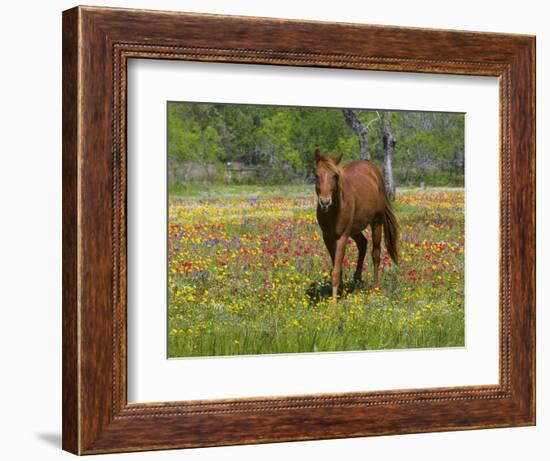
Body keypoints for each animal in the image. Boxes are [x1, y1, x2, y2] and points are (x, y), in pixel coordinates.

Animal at [314, 147, 402, 298]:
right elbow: (336, 269)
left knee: (376, 253)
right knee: (362, 244)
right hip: (354, 229)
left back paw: (375, 287)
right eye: (316, 175)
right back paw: (357, 279)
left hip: (376, 223)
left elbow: (336, 271)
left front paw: (334, 302)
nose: (325, 202)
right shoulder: (328, 237)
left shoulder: (342, 236)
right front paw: (340, 294)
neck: (334, 210)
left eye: (335, 176)